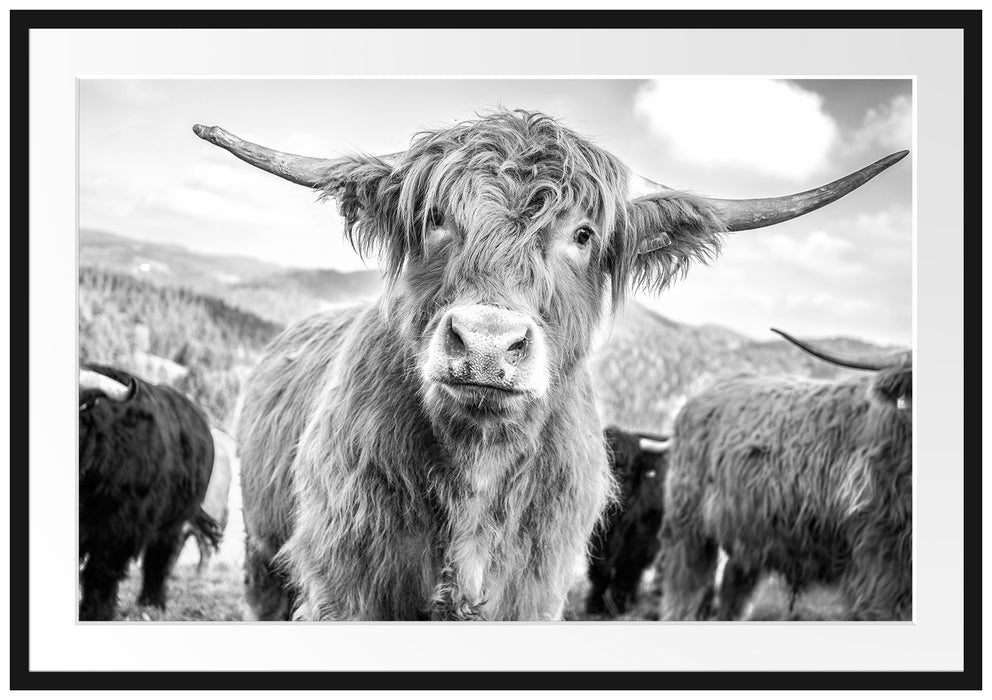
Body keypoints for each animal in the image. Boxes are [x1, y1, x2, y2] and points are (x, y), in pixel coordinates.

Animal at [78, 364, 219, 621]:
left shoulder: (118, 527)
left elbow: (101, 571)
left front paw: (95, 612)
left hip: (172, 522)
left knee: (160, 559)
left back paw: (153, 602)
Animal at [586, 427, 670, 617]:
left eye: (628, 469)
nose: (608, 497)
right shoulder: (597, 540)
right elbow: (599, 573)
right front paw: (594, 605)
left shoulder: (640, 541)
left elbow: (626, 573)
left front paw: (617, 607)